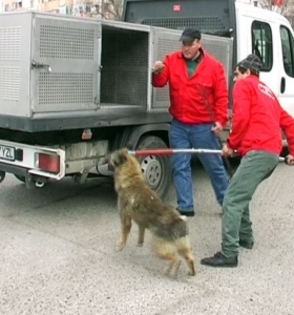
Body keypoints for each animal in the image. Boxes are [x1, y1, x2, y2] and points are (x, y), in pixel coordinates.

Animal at [108, 149, 195, 278]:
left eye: (112, 158)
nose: (107, 157)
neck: (132, 179)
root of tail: (178, 220)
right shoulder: (141, 223)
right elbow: (141, 231)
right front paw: (139, 242)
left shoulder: (125, 217)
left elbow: (124, 233)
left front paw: (120, 245)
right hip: (183, 244)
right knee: (189, 257)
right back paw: (191, 271)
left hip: (159, 247)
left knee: (175, 259)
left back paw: (169, 270)